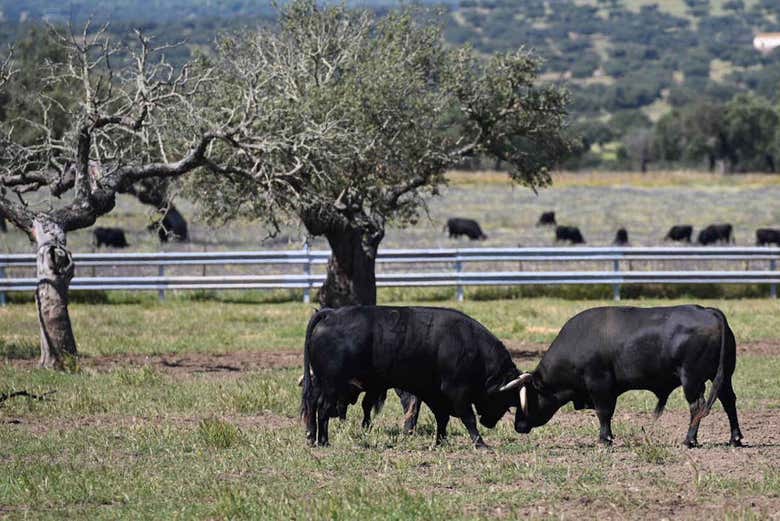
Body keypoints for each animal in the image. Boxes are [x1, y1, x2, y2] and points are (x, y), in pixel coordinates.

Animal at [302, 304, 520, 446]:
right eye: (505, 396)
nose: (490, 422)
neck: (468, 344)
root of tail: (331, 314)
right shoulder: (456, 392)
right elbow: (467, 417)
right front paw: (480, 443)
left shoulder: (433, 393)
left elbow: (440, 417)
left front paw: (440, 441)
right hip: (332, 385)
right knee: (323, 408)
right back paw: (323, 441)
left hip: (321, 383)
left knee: (312, 403)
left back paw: (311, 437)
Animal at [500, 304, 744, 446]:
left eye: (527, 399)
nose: (518, 426)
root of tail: (708, 311)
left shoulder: (600, 384)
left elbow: (603, 412)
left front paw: (604, 439)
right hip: (723, 377)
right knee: (729, 402)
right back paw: (735, 438)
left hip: (691, 379)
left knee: (697, 406)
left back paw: (690, 439)